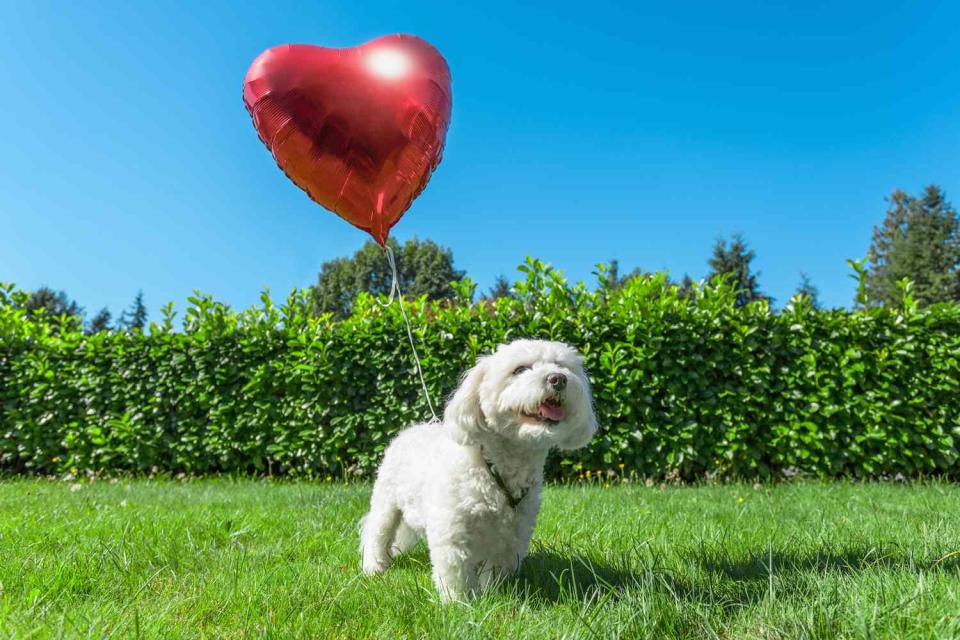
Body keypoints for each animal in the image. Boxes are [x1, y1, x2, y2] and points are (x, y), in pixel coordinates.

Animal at [360, 340, 596, 600]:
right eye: (520, 369)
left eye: (562, 366)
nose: (558, 379)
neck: (496, 467)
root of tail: (410, 430)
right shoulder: (452, 529)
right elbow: (455, 569)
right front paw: (458, 601)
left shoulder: (512, 534)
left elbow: (496, 570)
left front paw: (493, 595)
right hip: (386, 501)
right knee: (377, 532)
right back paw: (374, 567)